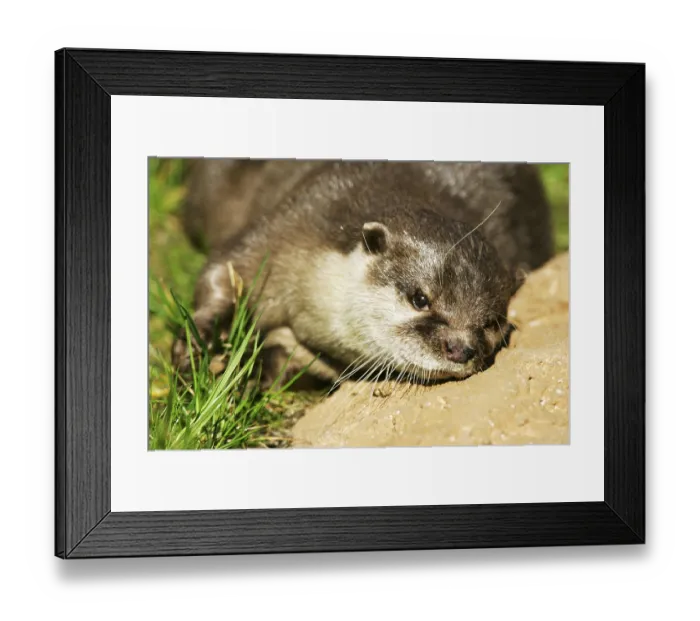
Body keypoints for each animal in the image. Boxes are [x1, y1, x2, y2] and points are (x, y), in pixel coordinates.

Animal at [172, 160, 553, 386]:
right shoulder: (296, 219)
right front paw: (198, 343)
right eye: (420, 298)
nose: (460, 348)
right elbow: (224, 268)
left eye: (491, 323)